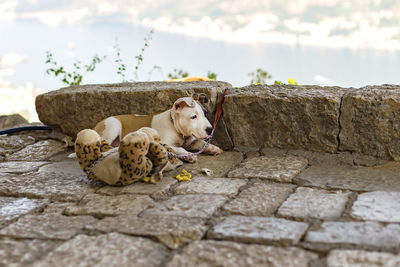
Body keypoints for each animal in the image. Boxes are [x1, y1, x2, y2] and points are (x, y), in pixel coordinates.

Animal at [93, 95, 222, 162]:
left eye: (205, 114)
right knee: (103, 148)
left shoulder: (190, 142)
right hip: (112, 125)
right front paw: (188, 155)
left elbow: (200, 142)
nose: (210, 129)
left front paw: (212, 148)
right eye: (193, 117)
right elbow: (179, 148)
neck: (175, 126)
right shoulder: (164, 143)